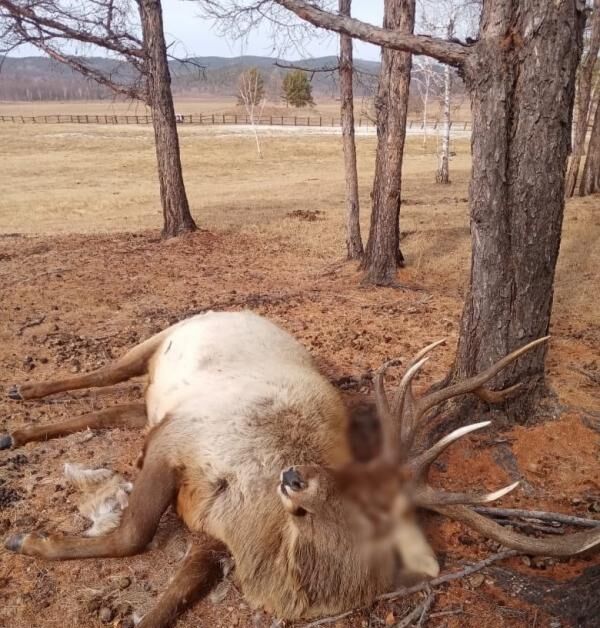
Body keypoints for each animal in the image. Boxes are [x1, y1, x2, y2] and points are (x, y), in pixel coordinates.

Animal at [2, 312, 596, 628]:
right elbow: (134, 535)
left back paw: (17, 429)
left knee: (115, 408)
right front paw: (27, 540)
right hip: (163, 336)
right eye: (352, 474)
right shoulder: (182, 440)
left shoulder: (212, 533)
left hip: (150, 399)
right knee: (103, 372)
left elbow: (167, 601)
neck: (262, 537)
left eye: (375, 509)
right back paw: (23, 394)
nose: (291, 476)